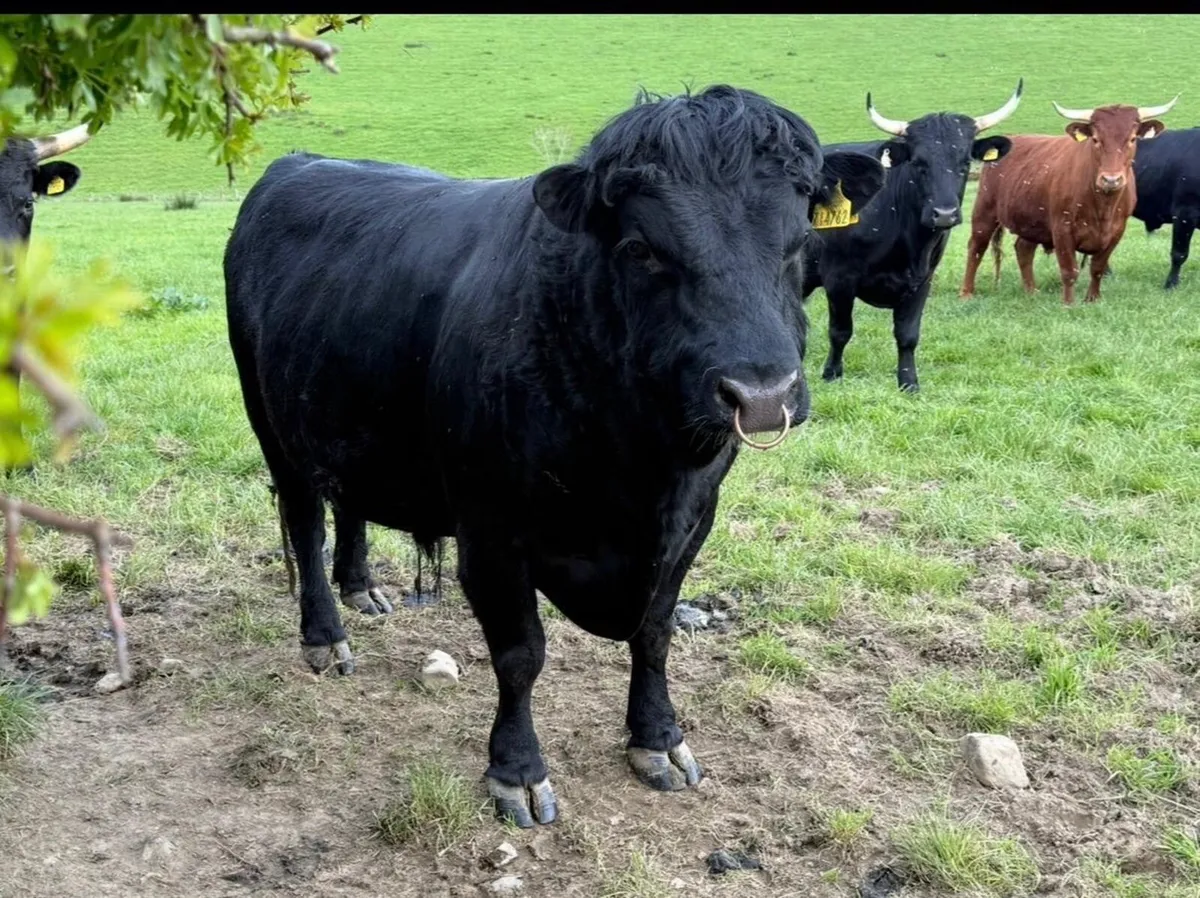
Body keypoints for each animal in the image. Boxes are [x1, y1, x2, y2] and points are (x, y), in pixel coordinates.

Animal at [223, 85, 885, 828]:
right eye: (640, 247)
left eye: (800, 241)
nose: (763, 395)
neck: (639, 465)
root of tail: (296, 164)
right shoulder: (491, 533)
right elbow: (520, 655)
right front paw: (516, 771)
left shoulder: (693, 519)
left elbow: (655, 633)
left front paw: (658, 738)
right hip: (272, 428)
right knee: (305, 523)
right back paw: (324, 635)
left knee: (350, 501)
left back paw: (362, 587)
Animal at [798, 82, 1022, 392]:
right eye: (918, 163)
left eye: (965, 162)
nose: (944, 214)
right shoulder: (839, 279)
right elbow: (840, 330)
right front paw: (832, 373)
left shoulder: (922, 281)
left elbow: (908, 334)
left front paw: (908, 382)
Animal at [960, 96, 1178, 305]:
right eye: (1096, 139)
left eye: (1132, 139)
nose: (1111, 179)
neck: (1103, 207)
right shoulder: (1062, 229)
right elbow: (1069, 270)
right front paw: (1068, 303)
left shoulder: (1116, 232)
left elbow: (1097, 268)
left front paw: (1092, 300)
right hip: (984, 211)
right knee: (976, 248)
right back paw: (966, 293)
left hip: (1031, 220)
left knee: (1023, 249)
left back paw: (1031, 291)